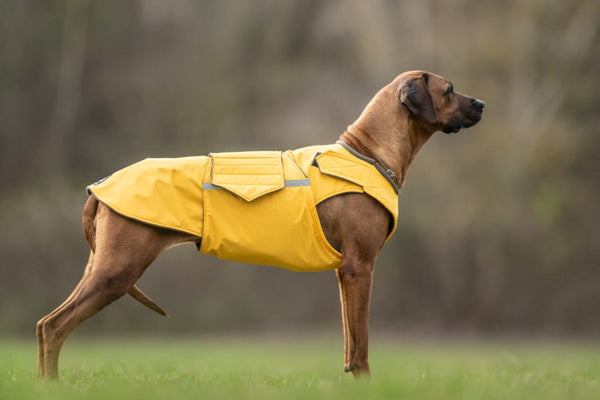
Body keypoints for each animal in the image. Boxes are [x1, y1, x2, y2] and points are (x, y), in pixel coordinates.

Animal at [36, 70, 482, 380]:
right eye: (449, 90)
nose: (481, 103)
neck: (367, 153)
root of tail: (98, 188)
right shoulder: (361, 267)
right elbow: (362, 344)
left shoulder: (345, 273)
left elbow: (349, 342)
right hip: (118, 270)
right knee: (55, 326)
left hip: (101, 266)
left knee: (44, 326)